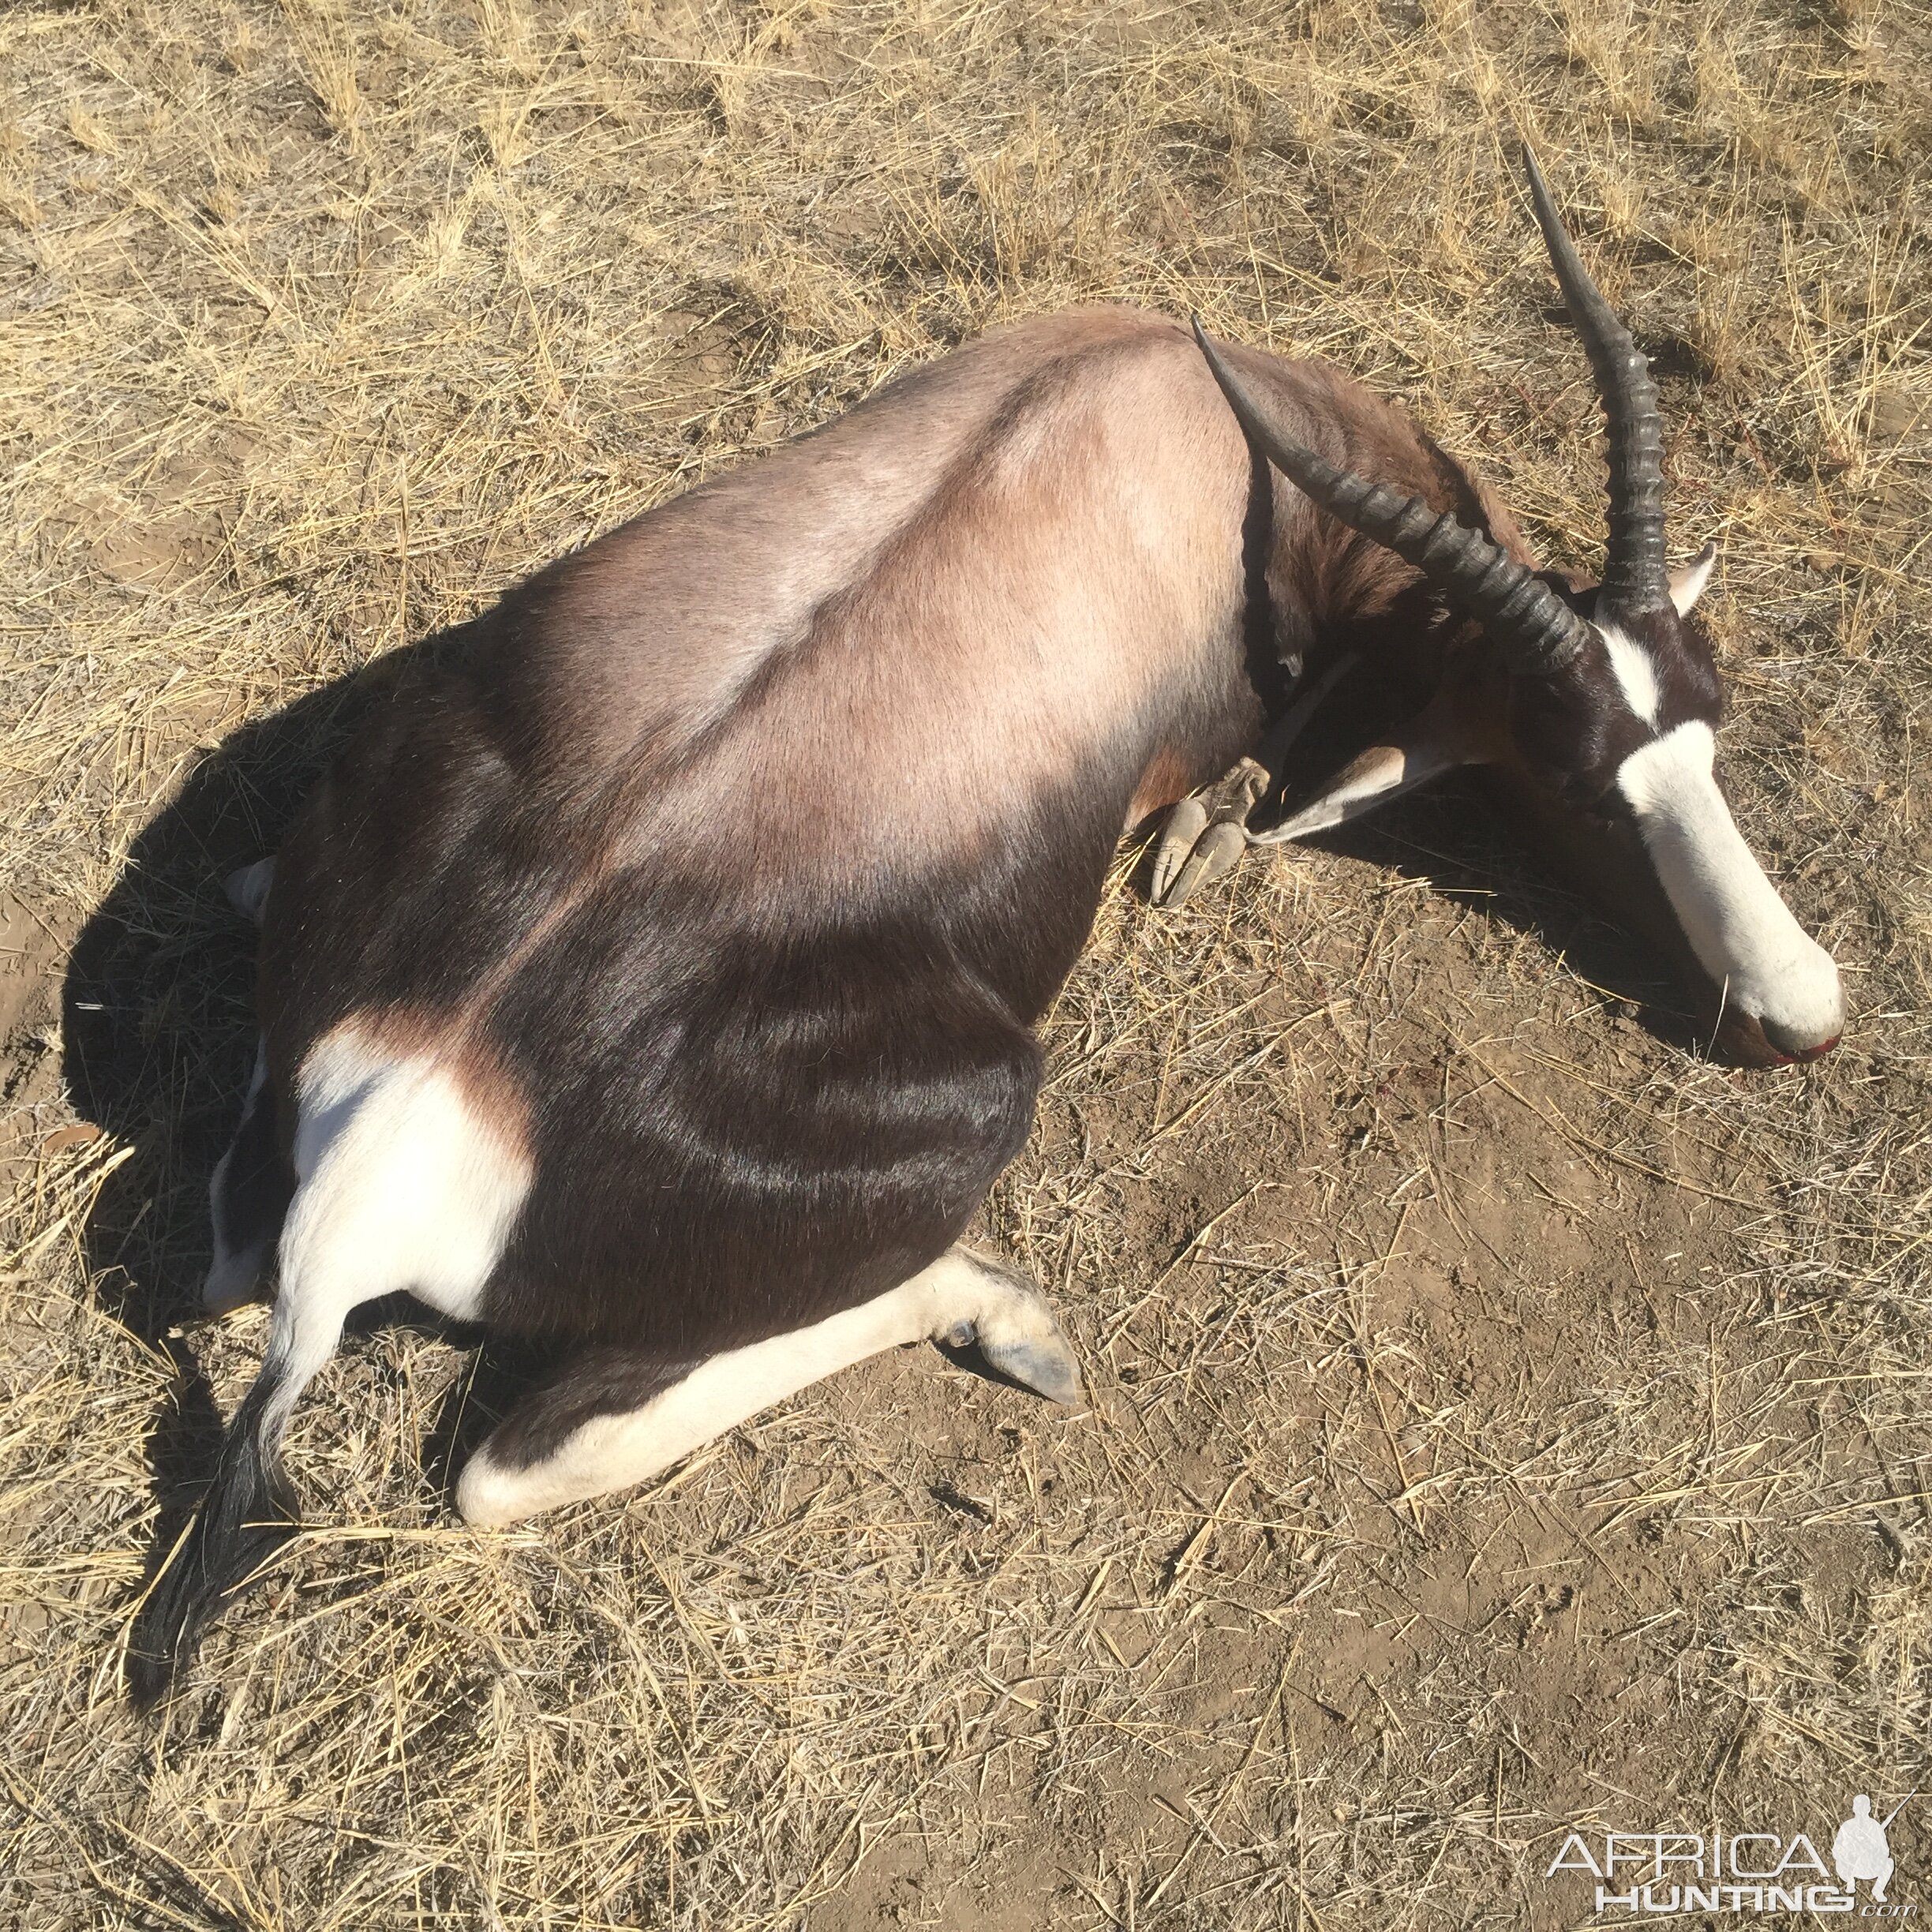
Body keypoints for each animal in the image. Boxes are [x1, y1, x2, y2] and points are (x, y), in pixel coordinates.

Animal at [132, 143, 1839, 1700]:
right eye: (1577, 786)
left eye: (1707, 715)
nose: (1800, 1015)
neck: (1176, 419)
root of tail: (408, 1123)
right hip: (982, 1103)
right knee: (511, 1467)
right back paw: (1005, 1313)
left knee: (221, 1260)